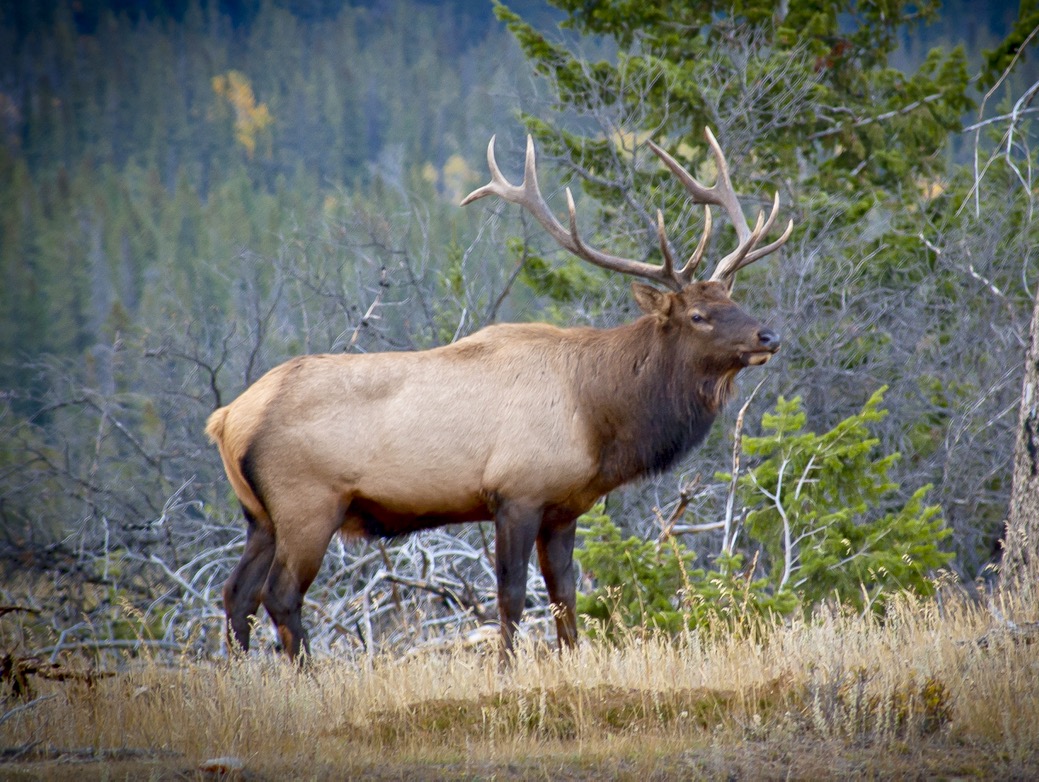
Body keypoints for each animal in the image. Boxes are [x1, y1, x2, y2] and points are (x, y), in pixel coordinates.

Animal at [205, 128, 793, 662]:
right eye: (698, 315)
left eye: (733, 299)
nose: (769, 336)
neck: (599, 417)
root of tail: (227, 418)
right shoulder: (516, 492)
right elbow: (510, 596)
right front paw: (508, 667)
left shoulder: (563, 507)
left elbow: (564, 596)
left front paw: (571, 661)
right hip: (307, 503)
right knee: (280, 595)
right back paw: (307, 676)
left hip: (259, 515)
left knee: (236, 595)